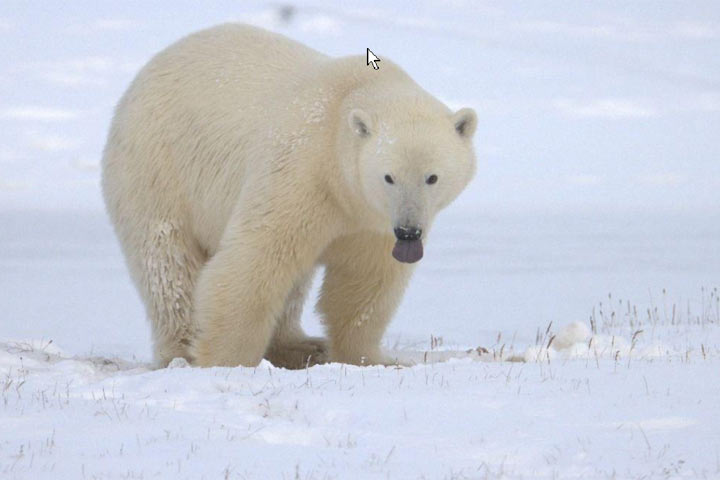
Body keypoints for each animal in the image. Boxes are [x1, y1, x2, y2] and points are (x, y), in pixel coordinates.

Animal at [100, 23, 472, 368]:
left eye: (432, 177)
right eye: (389, 177)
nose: (409, 231)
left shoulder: (370, 220)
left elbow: (363, 283)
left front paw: (371, 357)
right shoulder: (302, 172)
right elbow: (255, 259)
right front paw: (224, 359)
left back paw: (301, 345)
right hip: (157, 166)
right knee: (167, 263)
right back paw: (180, 351)